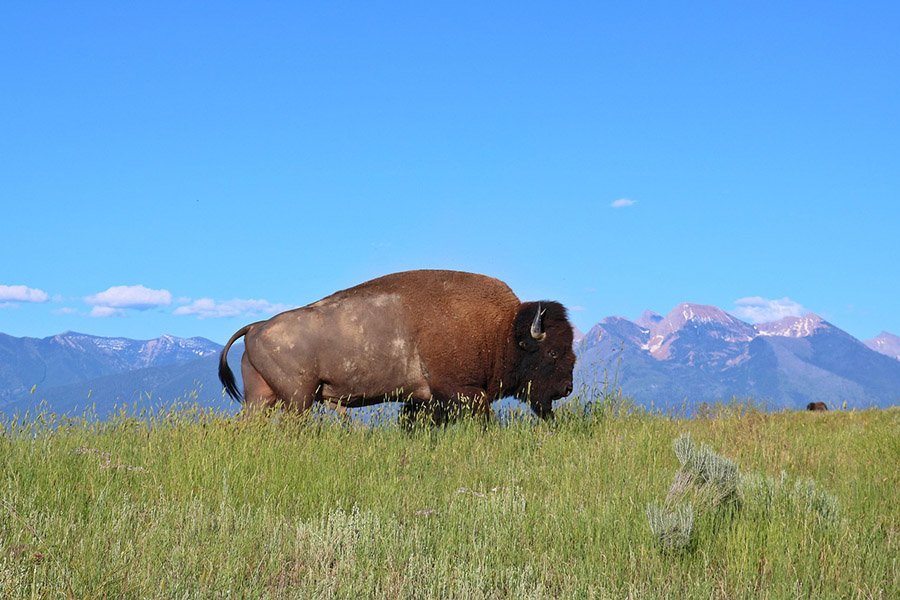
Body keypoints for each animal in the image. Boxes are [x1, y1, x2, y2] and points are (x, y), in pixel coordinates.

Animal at [218, 270, 576, 421]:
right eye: (553, 352)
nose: (567, 388)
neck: (501, 330)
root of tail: (257, 326)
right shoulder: (463, 392)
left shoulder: (423, 400)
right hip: (298, 398)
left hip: (261, 398)